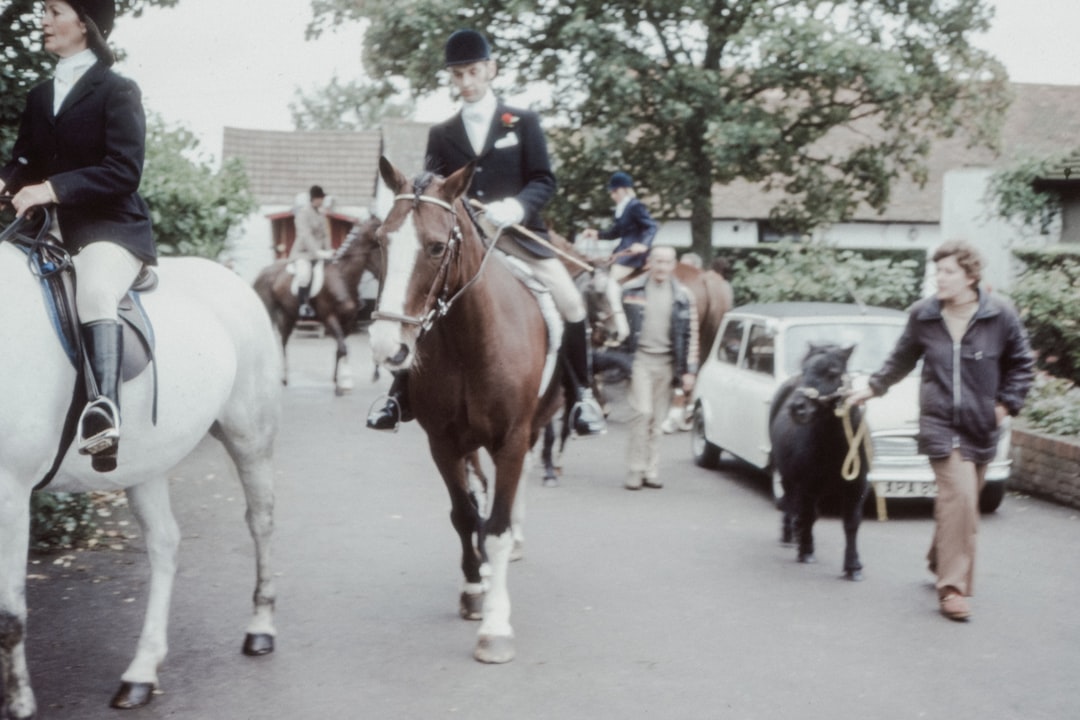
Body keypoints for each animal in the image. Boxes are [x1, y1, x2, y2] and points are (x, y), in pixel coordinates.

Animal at [0, 231, 282, 720]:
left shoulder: (10, 494)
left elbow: (9, 616)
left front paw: (18, 705)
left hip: (249, 432)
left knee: (260, 520)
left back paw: (260, 628)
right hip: (147, 461)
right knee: (165, 544)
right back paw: (142, 672)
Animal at [253, 218, 384, 395]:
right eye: (378, 250)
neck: (342, 277)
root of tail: (262, 272)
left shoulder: (348, 321)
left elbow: (341, 349)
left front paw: (340, 380)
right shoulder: (329, 317)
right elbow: (343, 348)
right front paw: (340, 385)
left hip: (288, 315)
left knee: (283, 342)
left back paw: (284, 379)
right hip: (269, 312)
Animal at [367, 157, 561, 664]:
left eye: (437, 247)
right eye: (380, 242)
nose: (387, 346)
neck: (470, 341)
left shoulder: (512, 438)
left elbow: (496, 528)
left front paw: (495, 627)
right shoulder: (443, 442)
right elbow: (464, 515)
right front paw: (475, 589)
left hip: (531, 430)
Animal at [768, 341, 868, 582]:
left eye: (832, 372)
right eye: (805, 370)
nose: (797, 407)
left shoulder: (857, 486)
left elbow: (851, 523)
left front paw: (853, 566)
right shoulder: (807, 485)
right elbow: (809, 515)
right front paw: (806, 550)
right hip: (787, 475)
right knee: (790, 503)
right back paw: (790, 535)